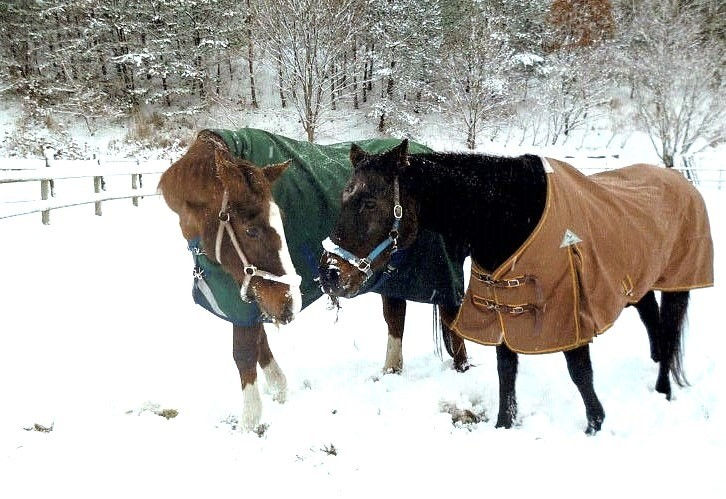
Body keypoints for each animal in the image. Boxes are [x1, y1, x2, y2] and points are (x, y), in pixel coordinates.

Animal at [158, 129, 470, 431]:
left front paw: (249, 421)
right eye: (250, 230)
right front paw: (279, 390)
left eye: (282, 220)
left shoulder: (247, 301)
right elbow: (259, 342)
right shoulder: (253, 296)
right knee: (395, 318)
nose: (289, 304)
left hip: (440, 272)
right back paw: (390, 372)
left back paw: (461, 371)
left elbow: (244, 352)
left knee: (452, 321)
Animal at [319, 140, 713, 434]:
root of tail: (682, 183)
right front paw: (504, 425)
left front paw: (594, 426)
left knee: (669, 333)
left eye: (370, 202)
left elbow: (580, 372)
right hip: (636, 287)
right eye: (343, 198)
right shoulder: (502, 307)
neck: (510, 217)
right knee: (655, 327)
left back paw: (664, 391)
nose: (330, 274)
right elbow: (506, 370)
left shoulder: (566, 313)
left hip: (678, 285)